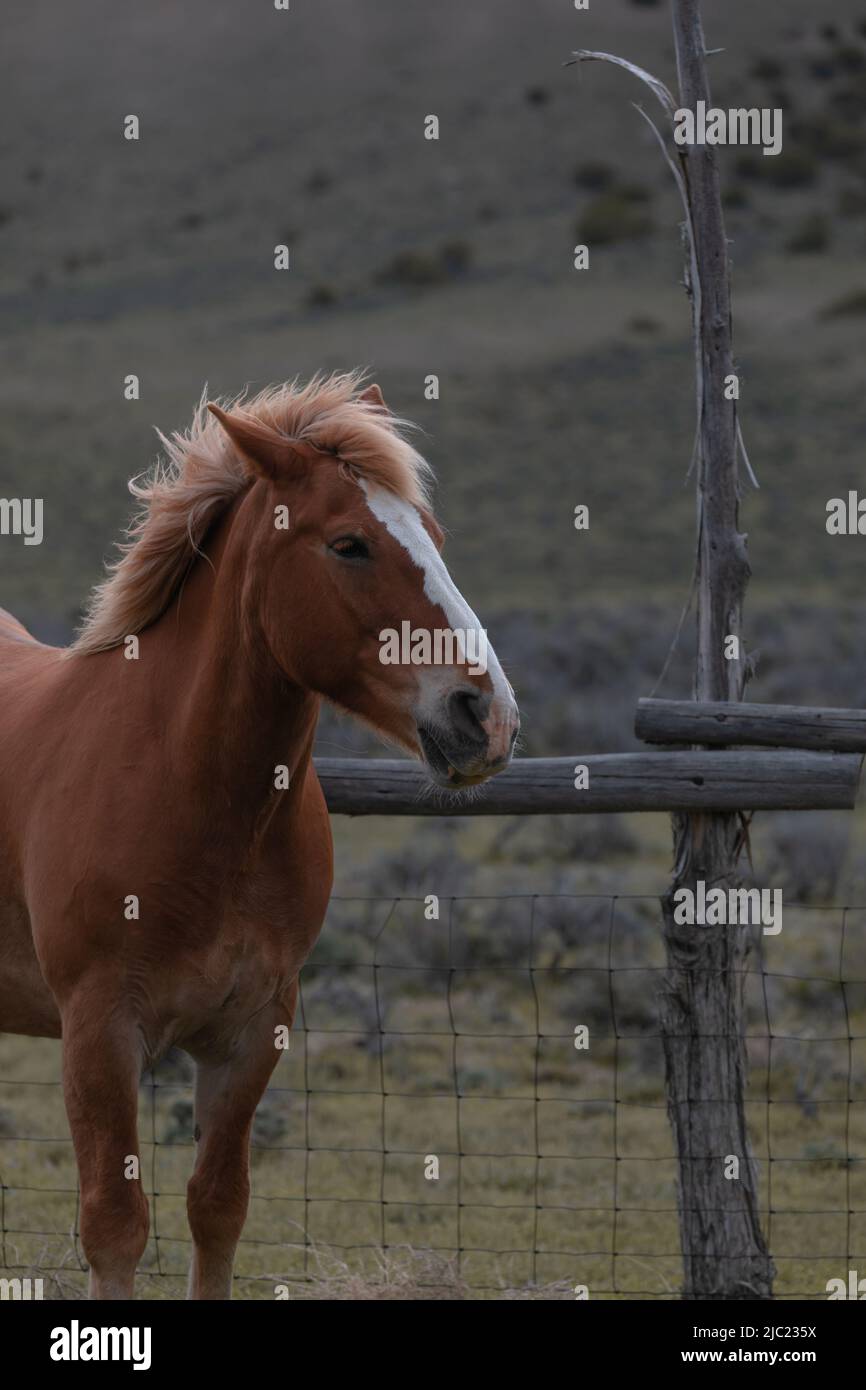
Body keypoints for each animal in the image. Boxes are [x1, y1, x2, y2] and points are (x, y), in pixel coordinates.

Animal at [0, 372, 519, 1299]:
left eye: (433, 537)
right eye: (349, 544)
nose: (486, 717)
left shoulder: (251, 1033)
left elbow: (219, 1208)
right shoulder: (99, 1032)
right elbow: (115, 1225)